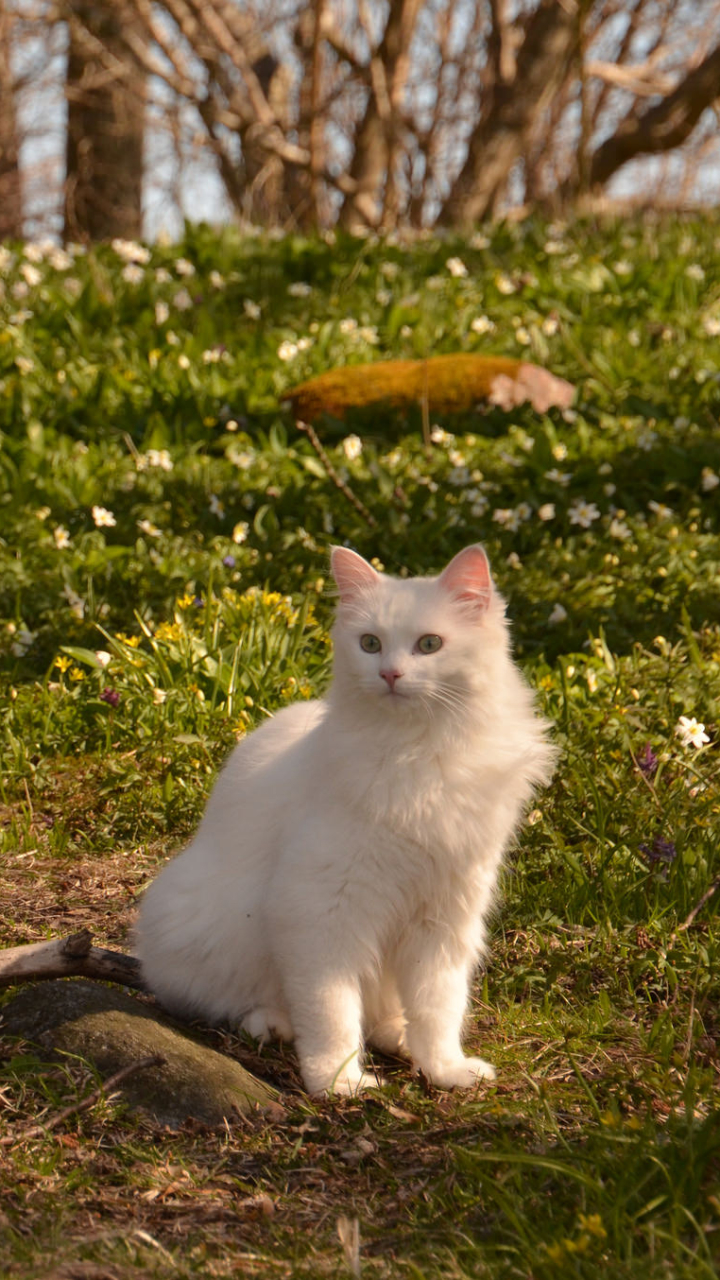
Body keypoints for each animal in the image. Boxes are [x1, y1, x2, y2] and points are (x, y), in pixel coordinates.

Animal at [134, 545, 550, 1095]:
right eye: (370, 644)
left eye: (430, 644)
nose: (390, 675)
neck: (419, 753)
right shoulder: (320, 910)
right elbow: (330, 1009)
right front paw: (338, 1081)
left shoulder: (443, 918)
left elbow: (439, 1008)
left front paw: (445, 1070)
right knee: (236, 1003)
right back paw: (274, 1026)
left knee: (386, 1017)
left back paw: (400, 1039)